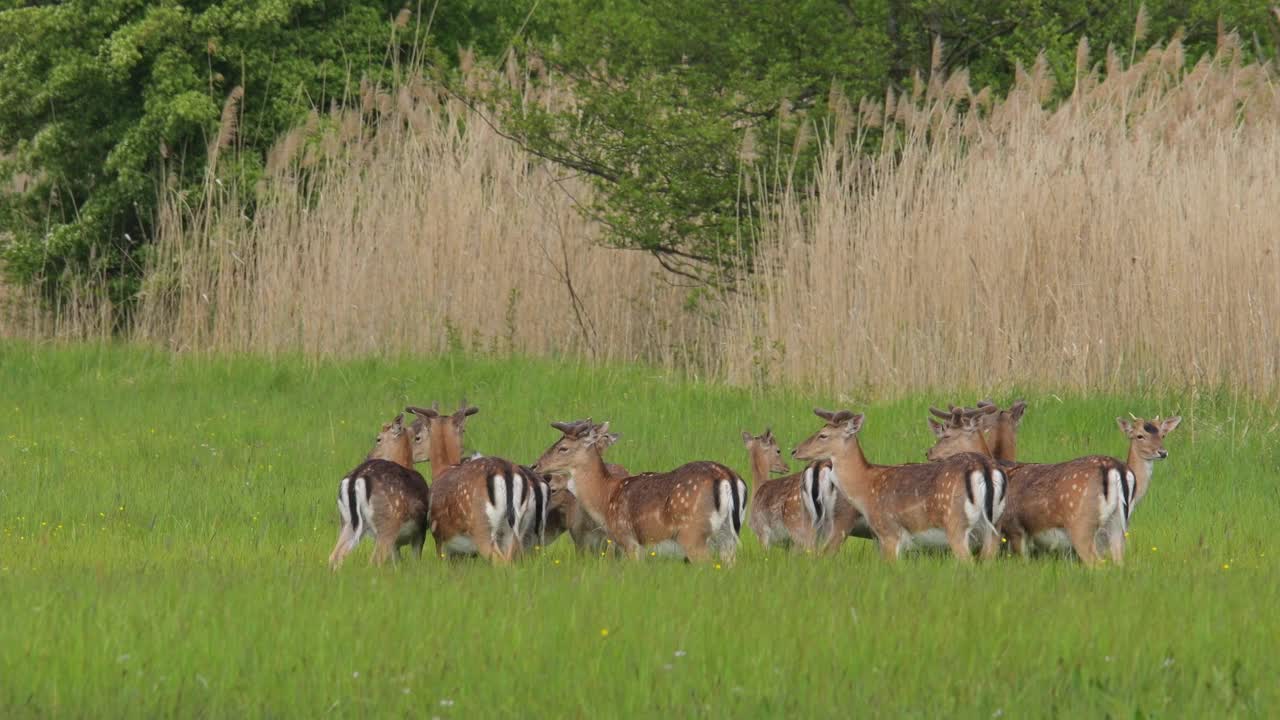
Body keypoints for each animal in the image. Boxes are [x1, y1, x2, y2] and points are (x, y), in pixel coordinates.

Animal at [327, 412, 432, 568]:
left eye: (378, 439)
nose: (367, 456)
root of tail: (356, 478)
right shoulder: (420, 530)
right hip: (388, 523)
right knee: (375, 560)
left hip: (347, 522)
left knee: (335, 556)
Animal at [532, 420, 747, 561]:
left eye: (563, 447)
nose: (536, 465)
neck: (606, 499)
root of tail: (728, 478)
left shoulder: (629, 540)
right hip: (728, 537)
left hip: (693, 534)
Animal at [788, 409, 1008, 561]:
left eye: (823, 434)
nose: (795, 451)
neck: (865, 489)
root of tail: (984, 468)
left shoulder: (888, 532)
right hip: (994, 527)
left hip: (955, 524)